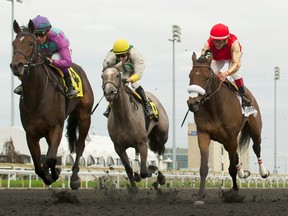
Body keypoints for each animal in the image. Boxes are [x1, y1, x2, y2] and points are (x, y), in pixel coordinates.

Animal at [9, 19, 93, 189]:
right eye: (14, 43)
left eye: (30, 43)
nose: (17, 66)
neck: (37, 96)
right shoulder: (31, 133)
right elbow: (38, 165)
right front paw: (49, 175)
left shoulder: (56, 127)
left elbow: (51, 158)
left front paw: (55, 173)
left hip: (84, 116)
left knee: (80, 146)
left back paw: (74, 178)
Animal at [101, 62, 169, 192]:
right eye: (102, 76)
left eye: (117, 75)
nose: (109, 92)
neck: (123, 117)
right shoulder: (118, 147)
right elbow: (128, 169)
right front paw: (133, 188)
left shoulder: (143, 143)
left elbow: (144, 171)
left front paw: (152, 169)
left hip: (161, 135)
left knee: (160, 151)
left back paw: (161, 176)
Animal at [187, 52, 270, 204]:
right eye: (190, 76)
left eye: (206, 77)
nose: (193, 103)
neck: (214, 108)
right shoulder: (203, 134)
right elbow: (204, 167)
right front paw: (200, 197)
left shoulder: (231, 137)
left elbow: (231, 168)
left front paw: (234, 193)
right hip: (225, 141)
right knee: (236, 156)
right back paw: (243, 173)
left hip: (253, 130)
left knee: (256, 147)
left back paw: (264, 172)